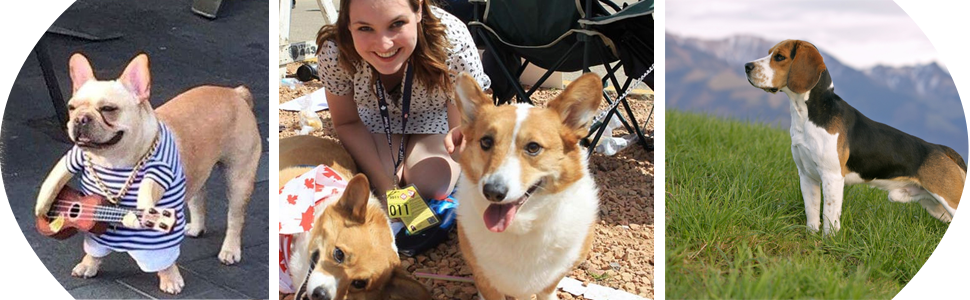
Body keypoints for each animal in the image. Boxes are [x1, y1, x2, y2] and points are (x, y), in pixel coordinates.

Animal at [452, 73, 596, 300]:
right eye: (486, 142)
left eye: (533, 147)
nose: (492, 192)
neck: (521, 225)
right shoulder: (486, 280)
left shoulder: (553, 279)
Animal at [740, 39, 960, 236]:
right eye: (770, 53)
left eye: (779, 57)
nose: (746, 66)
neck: (806, 114)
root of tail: (941, 148)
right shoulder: (806, 176)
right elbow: (812, 212)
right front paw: (811, 237)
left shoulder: (832, 177)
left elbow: (829, 215)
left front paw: (828, 243)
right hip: (934, 205)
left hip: (949, 199)